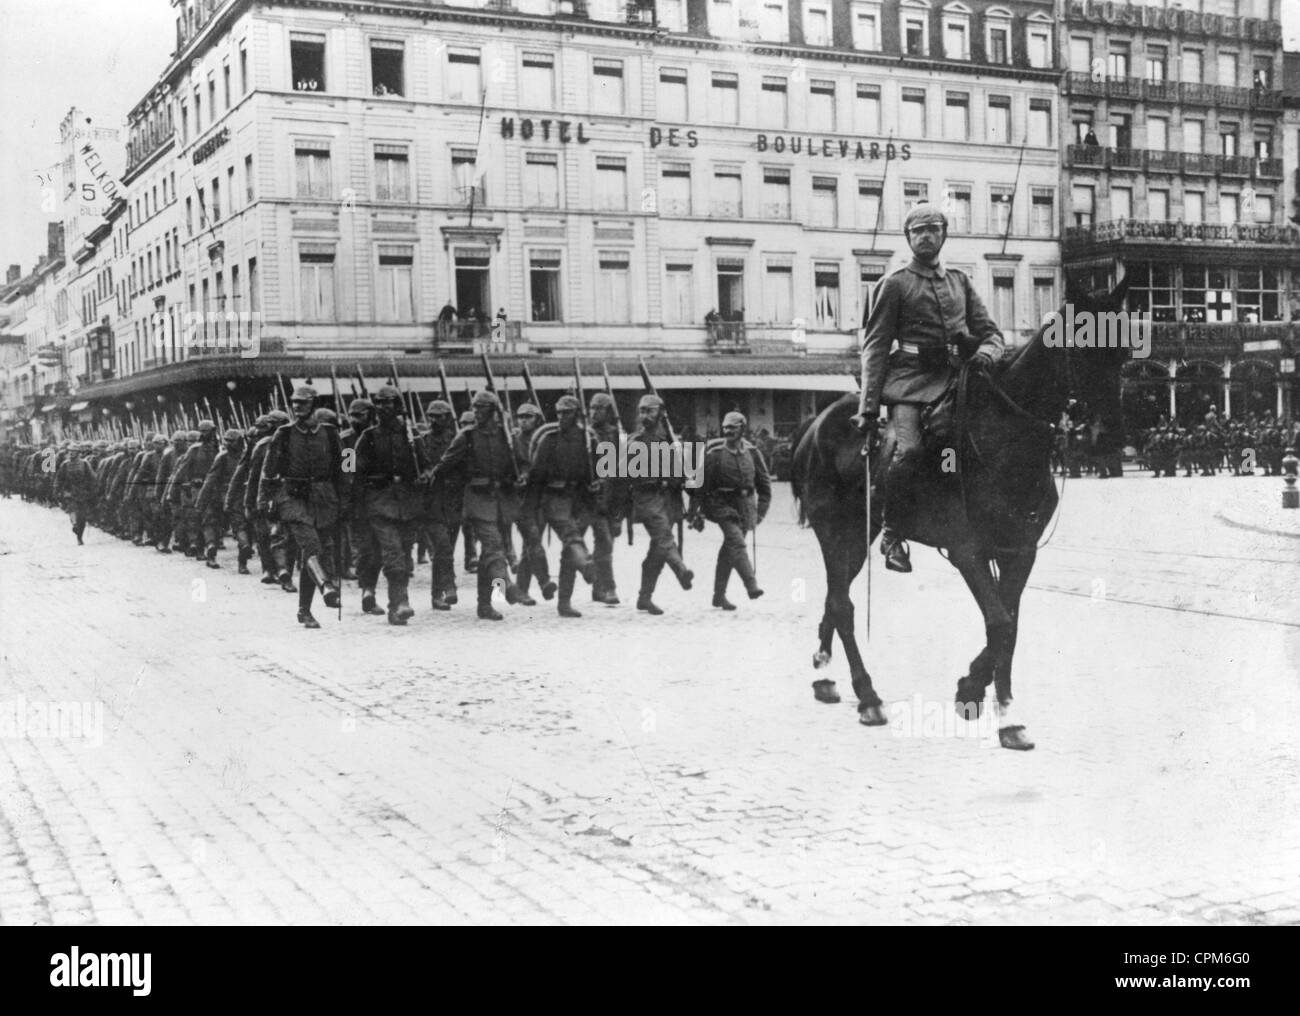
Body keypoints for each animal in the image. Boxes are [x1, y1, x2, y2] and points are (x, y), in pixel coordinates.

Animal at [785, 278, 1133, 748]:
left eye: (1123, 351)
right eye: (1080, 347)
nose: (1108, 438)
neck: (1006, 437)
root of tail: (817, 422)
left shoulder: (1020, 550)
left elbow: (1009, 625)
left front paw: (981, 695)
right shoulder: (968, 550)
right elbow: (1000, 623)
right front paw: (992, 706)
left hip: (860, 536)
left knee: (834, 598)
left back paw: (824, 674)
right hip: (839, 532)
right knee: (843, 604)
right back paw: (867, 695)